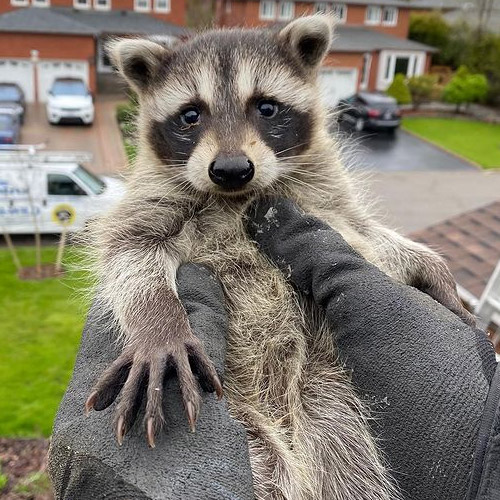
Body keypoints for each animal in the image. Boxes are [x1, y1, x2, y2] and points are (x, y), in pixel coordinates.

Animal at [85, 15, 472, 500]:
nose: (231, 169)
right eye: (191, 115)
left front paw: (422, 259)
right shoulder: (151, 201)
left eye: (266, 107)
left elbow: (363, 234)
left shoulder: (324, 200)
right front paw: (159, 324)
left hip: (329, 404)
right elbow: (127, 250)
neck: (237, 198)